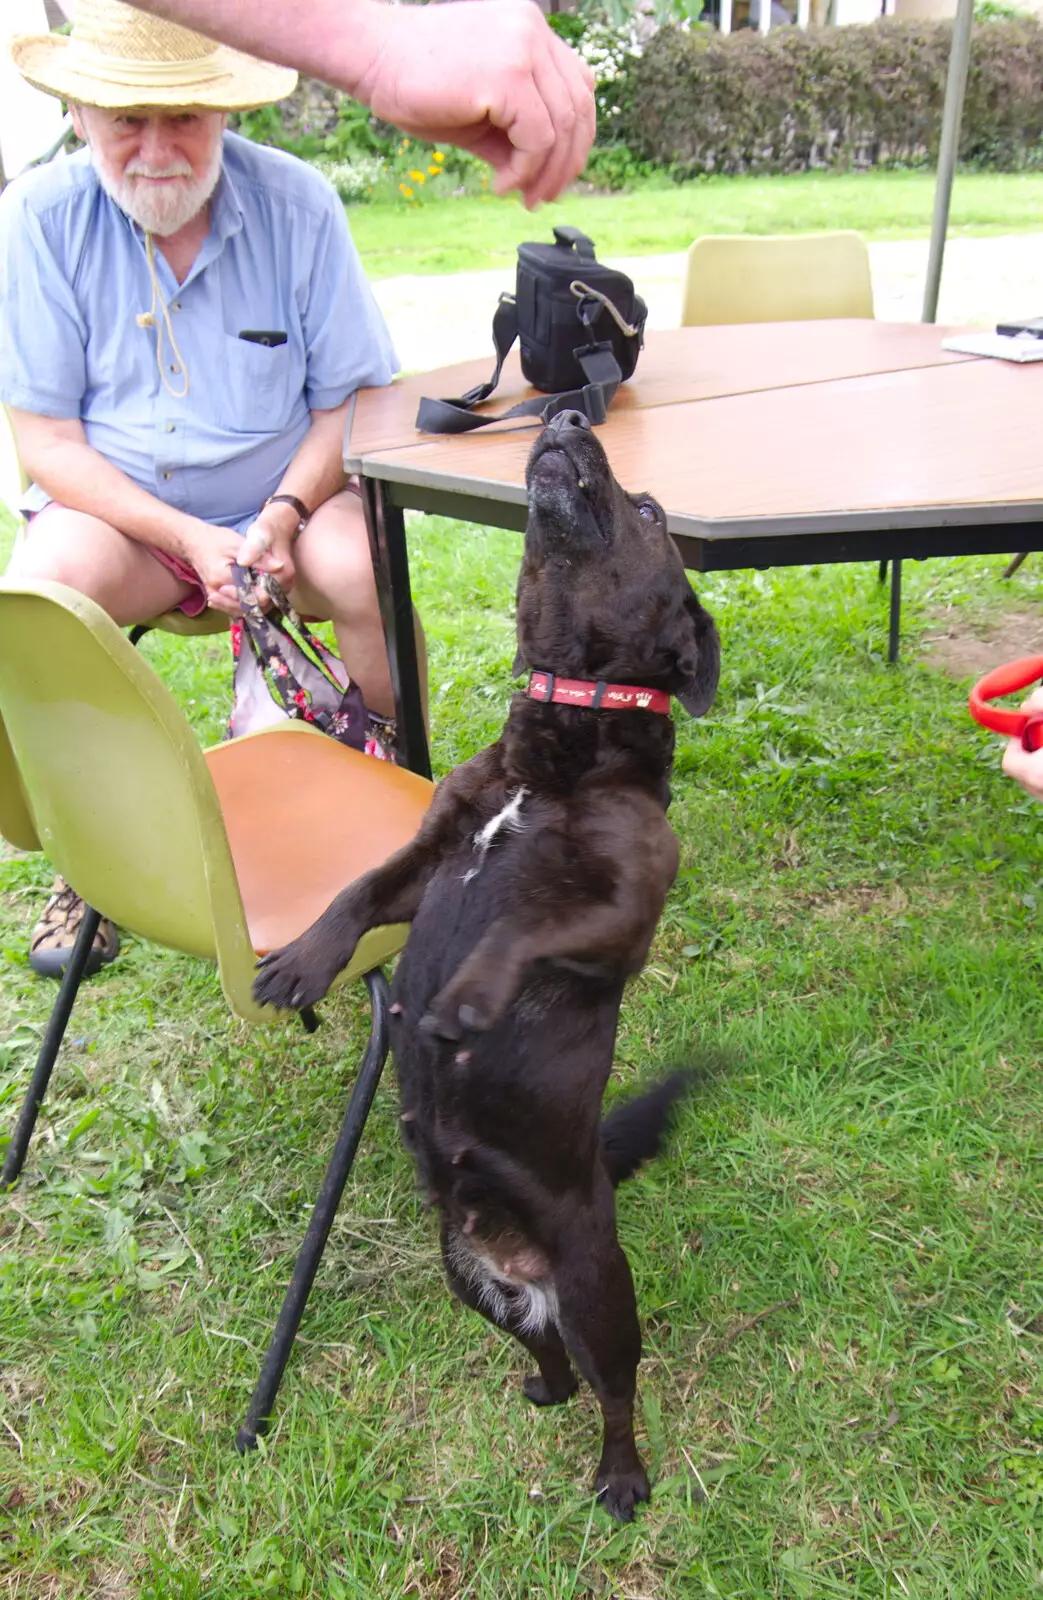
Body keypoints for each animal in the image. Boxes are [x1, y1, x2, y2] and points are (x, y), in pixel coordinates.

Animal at [255, 406, 719, 1516]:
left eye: (649, 510)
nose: (567, 412)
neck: (563, 737)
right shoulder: (432, 853)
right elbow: (355, 893)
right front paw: (299, 964)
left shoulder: (624, 911)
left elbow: (522, 927)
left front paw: (465, 999)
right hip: (464, 1279)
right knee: (548, 1352)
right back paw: (541, 1389)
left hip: (600, 1291)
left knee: (614, 1386)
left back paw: (620, 1477)